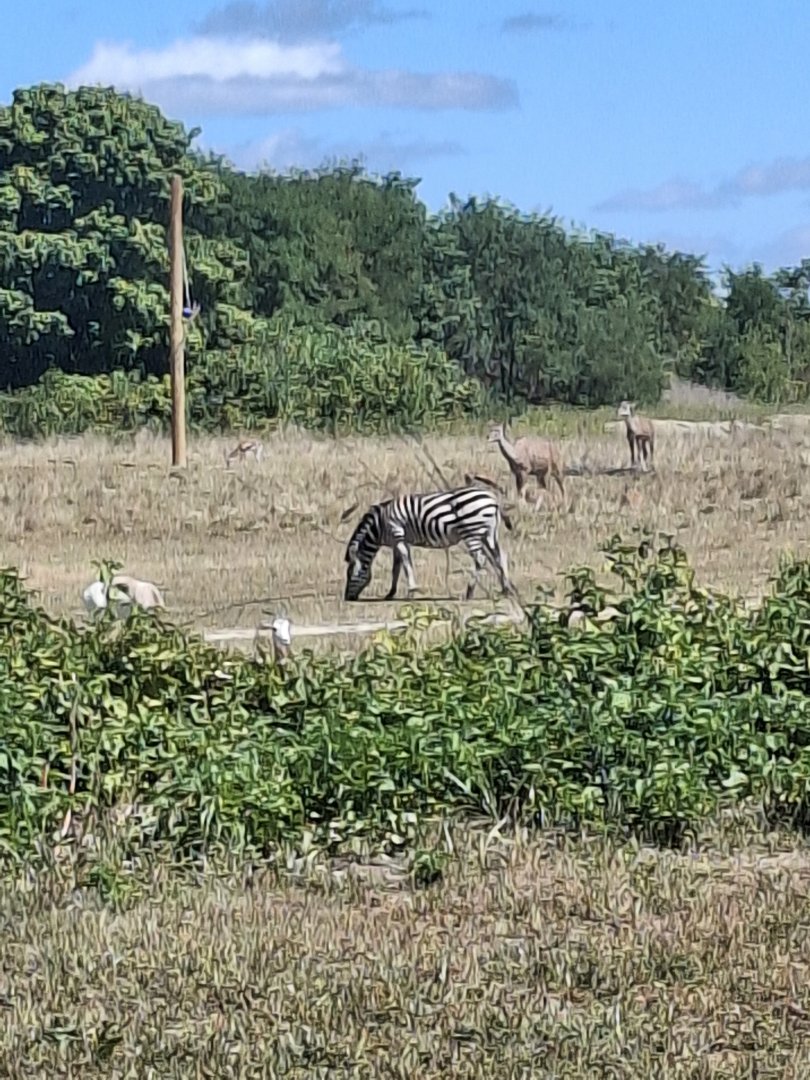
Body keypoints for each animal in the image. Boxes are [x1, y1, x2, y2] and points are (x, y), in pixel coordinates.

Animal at [343, 485, 515, 602]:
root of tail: (492, 499)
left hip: (471, 531)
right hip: (489, 533)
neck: (380, 525)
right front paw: (391, 593)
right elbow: (396, 567)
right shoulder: (398, 541)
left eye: (350, 573)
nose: (347, 598)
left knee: (480, 558)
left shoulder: (398, 534)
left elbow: (405, 563)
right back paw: (506, 590)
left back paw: (469, 591)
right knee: (500, 556)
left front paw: (411, 590)